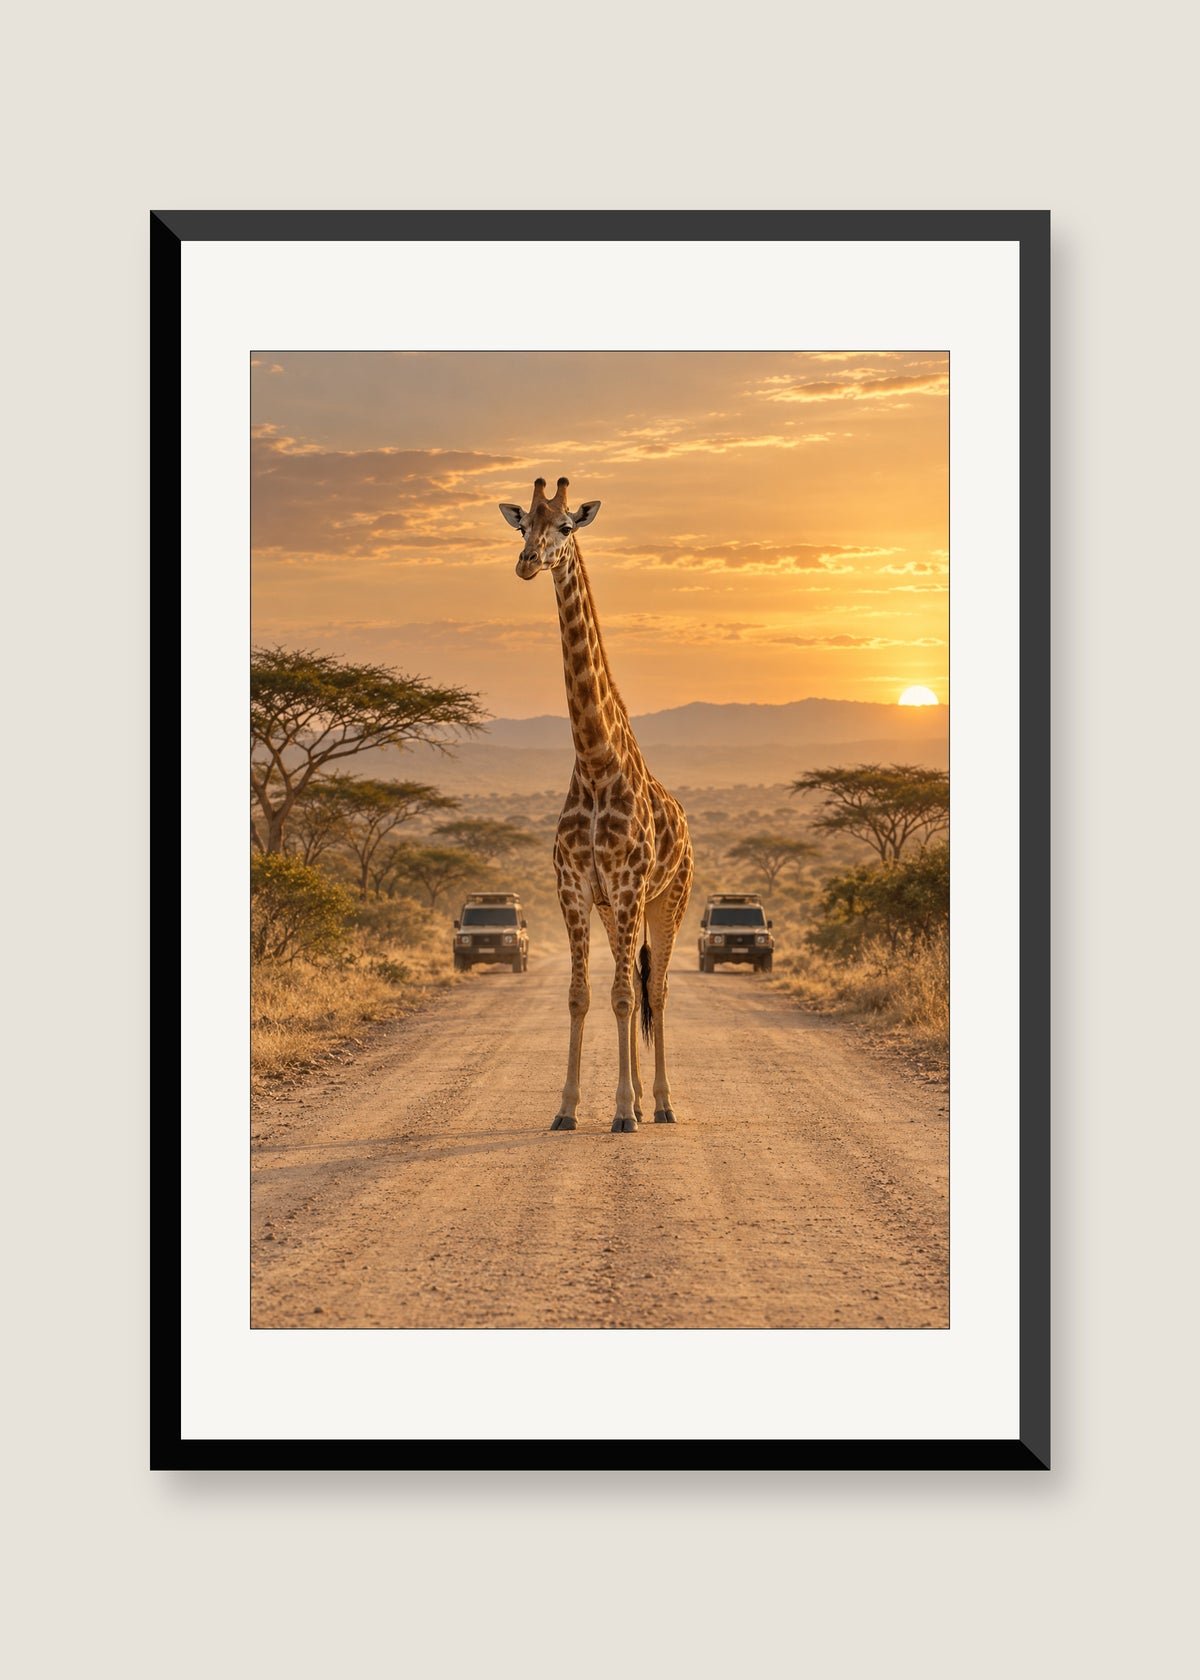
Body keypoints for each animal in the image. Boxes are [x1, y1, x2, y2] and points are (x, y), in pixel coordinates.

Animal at [499, 477, 694, 1133]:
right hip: (617, 911)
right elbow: (583, 995)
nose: (528, 562)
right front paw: (567, 1108)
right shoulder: (577, 888)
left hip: (668, 899)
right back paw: (631, 1099)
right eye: (523, 524)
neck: (593, 760)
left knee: (654, 990)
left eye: (565, 527)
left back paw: (657, 1104)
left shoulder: (631, 886)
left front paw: (625, 1112)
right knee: (627, 984)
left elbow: (628, 996)